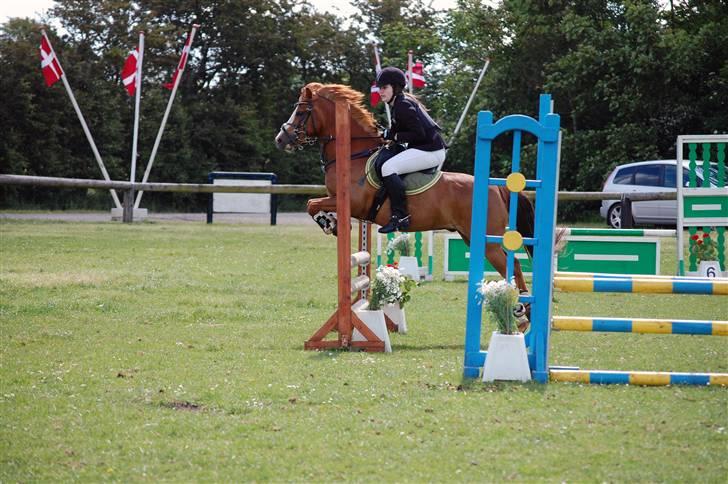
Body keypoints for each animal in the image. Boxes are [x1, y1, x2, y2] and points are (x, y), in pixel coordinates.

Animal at [272, 82, 536, 308]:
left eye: (301, 112)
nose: (280, 139)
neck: (353, 155)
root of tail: (497, 186)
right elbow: (313, 204)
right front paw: (332, 223)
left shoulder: (351, 202)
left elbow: (311, 204)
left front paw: (330, 224)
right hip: (471, 237)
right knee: (513, 265)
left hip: (487, 241)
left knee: (513, 266)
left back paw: (521, 311)